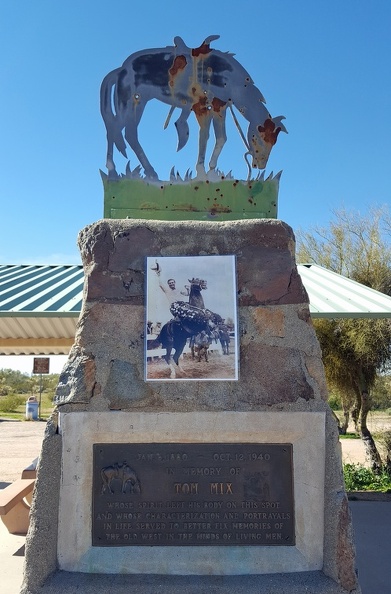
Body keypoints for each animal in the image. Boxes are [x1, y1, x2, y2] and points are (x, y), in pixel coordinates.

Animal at [101, 34, 286, 178]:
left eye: (274, 142)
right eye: (259, 137)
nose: (259, 165)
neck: (231, 80)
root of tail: (120, 70)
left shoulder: (219, 108)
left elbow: (221, 138)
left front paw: (211, 171)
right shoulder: (201, 108)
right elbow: (204, 136)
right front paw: (201, 171)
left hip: (137, 103)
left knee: (124, 132)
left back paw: (145, 172)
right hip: (129, 103)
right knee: (116, 129)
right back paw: (115, 171)